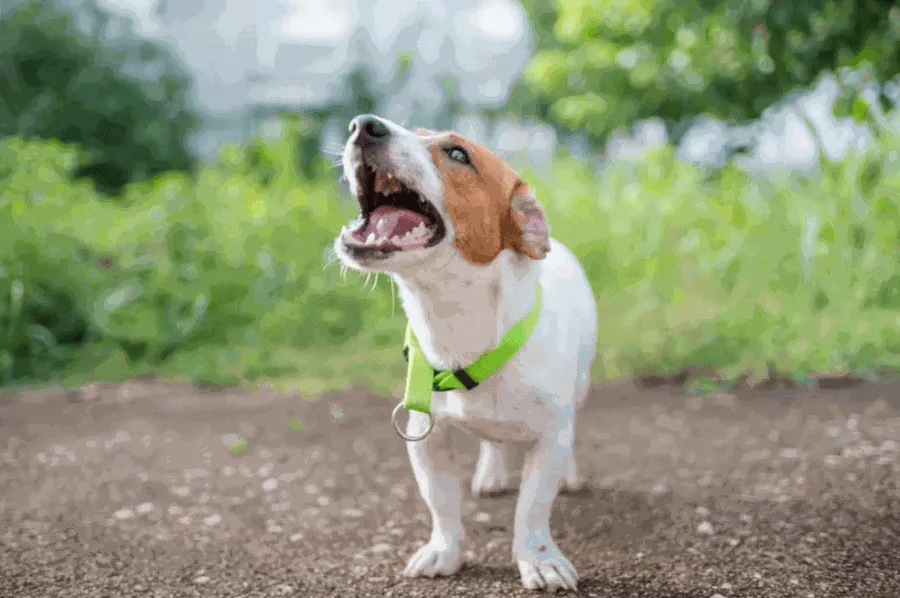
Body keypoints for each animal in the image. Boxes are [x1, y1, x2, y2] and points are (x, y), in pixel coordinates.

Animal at [332, 115, 596, 592]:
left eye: (458, 154)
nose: (363, 125)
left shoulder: (549, 437)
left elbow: (532, 508)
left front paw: (539, 559)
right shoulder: (426, 436)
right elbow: (441, 503)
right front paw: (445, 551)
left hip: (580, 389)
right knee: (492, 442)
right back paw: (491, 473)